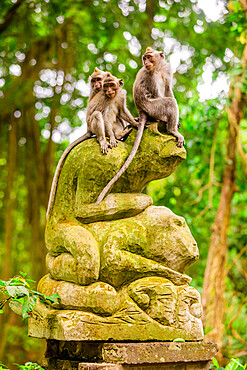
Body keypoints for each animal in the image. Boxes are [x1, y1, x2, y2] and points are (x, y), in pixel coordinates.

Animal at [95, 46, 184, 205]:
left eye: (149, 57)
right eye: (145, 58)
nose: (146, 62)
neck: (158, 68)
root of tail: (142, 111)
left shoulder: (167, 70)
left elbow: (168, 90)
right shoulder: (151, 76)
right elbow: (159, 94)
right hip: (153, 109)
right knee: (168, 103)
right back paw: (171, 129)